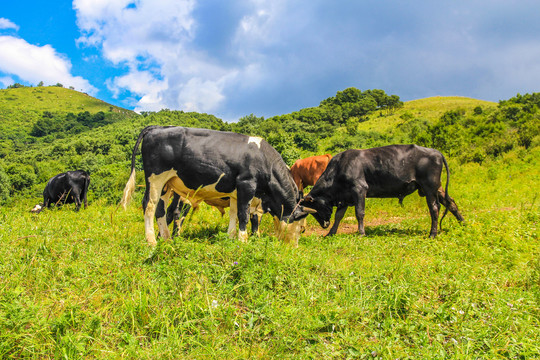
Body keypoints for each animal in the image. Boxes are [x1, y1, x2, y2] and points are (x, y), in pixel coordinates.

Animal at [122, 126, 306, 248]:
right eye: (300, 228)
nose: (294, 248)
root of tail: (157, 127)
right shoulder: (246, 184)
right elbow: (244, 215)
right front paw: (243, 240)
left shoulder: (236, 193)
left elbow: (234, 214)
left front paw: (231, 237)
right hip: (155, 178)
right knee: (149, 205)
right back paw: (152, 241)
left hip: (168, 184)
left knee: (161, 209)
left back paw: (166, 239)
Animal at [292, 145, 464, 238]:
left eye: (314, 210)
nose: (324, 225)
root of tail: (436, 151)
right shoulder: (345, 197)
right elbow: (339, 216)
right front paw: (331, 233)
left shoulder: (359, 189)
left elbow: (359, 213)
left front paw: (361, 232)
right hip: (436, 188)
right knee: (451, 202)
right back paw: (463, 223)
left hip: (429, 188)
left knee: (434, 208)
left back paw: (432, 233)